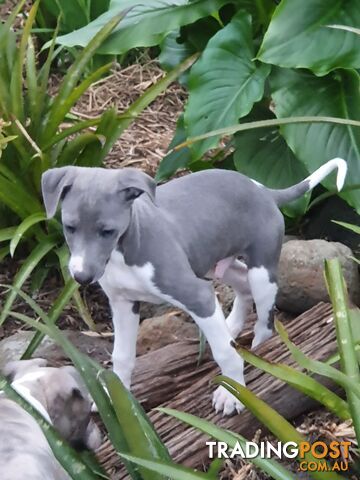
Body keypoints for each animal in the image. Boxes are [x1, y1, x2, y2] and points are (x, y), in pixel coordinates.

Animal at [40, 158, 348, 416]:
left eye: (108, 231)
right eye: (69, 227)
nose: (81, 277)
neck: (125, 250)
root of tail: (263, 190)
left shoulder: (196, 294)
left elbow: (226, 354)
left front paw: (231, 394)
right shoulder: (123, 303)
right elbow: (122, 356)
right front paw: (118, 397)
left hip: (261, 273)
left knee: (264, 323)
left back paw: (255, 352)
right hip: (213, 265)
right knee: (241, 287)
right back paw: (230, 327)